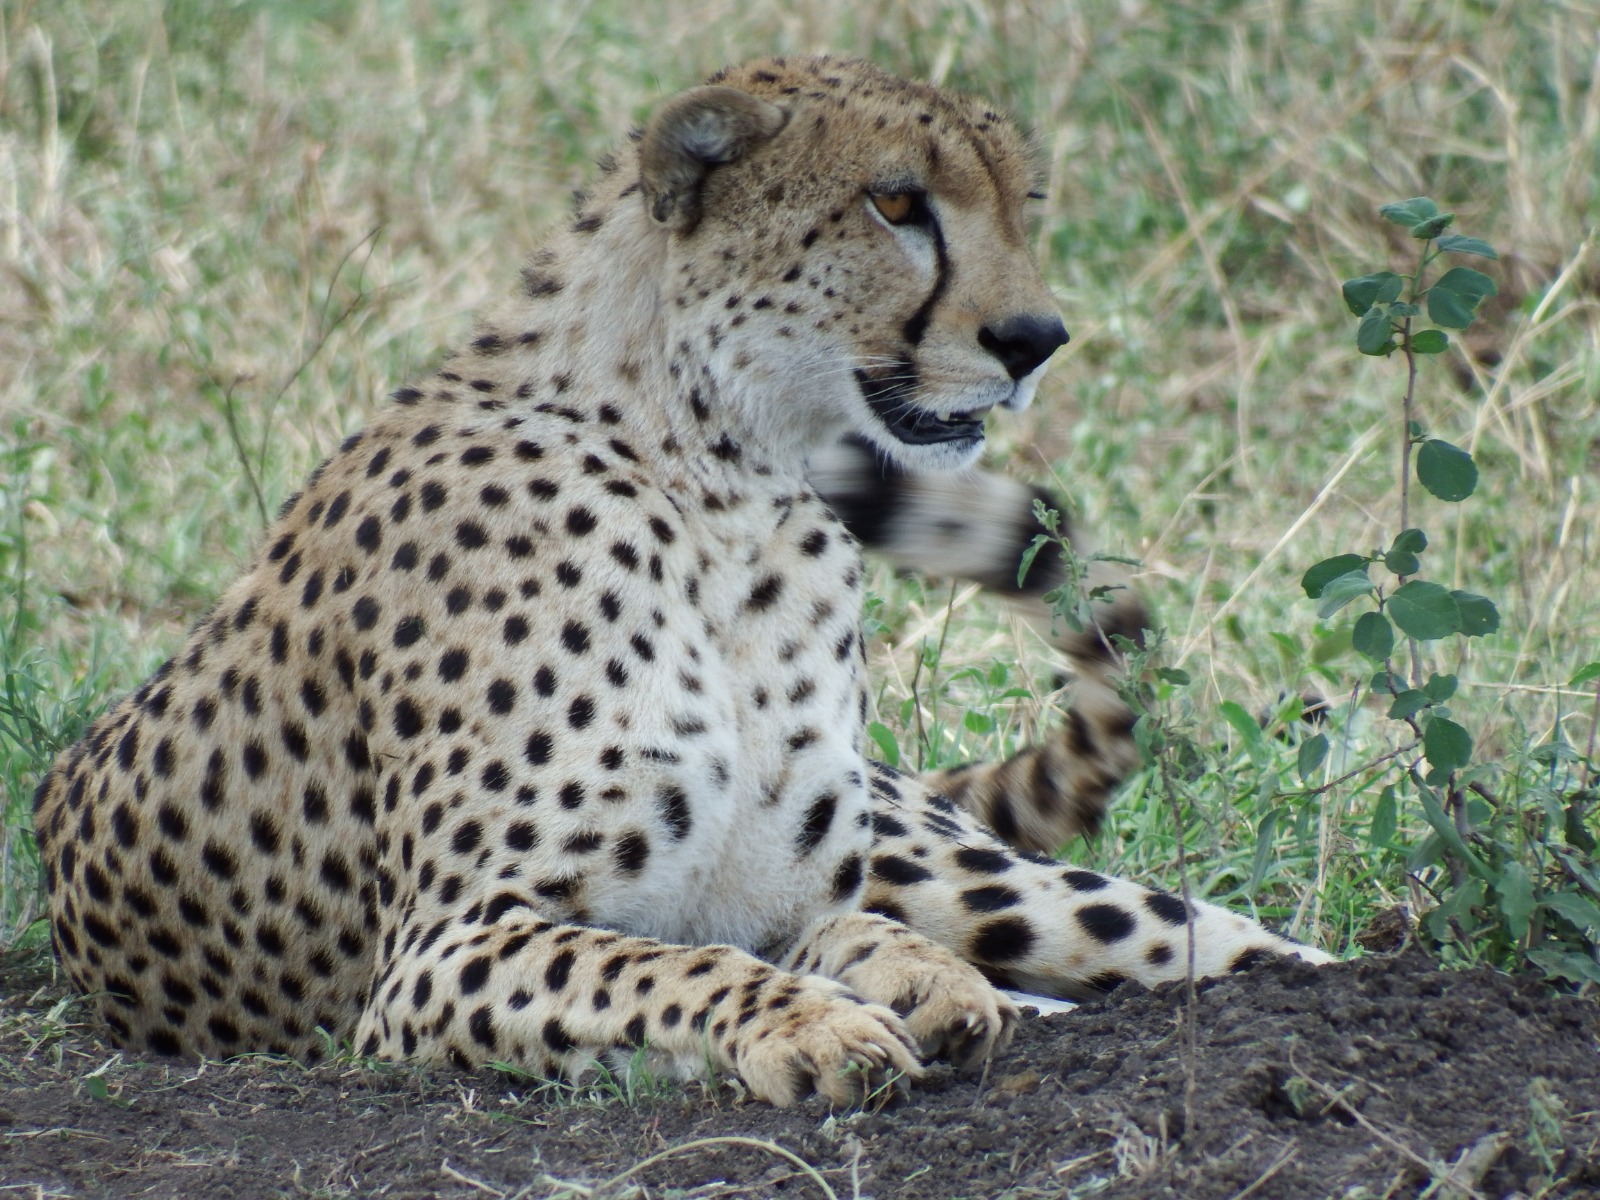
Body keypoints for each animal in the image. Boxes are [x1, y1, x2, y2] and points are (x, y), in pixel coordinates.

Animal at [33, 55, 1332, 1108]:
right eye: (896, 203)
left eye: (1027, 208)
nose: (1034, 340)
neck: (722, 486)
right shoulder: (442, 952)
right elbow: (664, 964)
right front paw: (816, 1028)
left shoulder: (786, 900)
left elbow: (842, 937)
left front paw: (925, 988)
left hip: (957, 864)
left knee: (1215, 939)